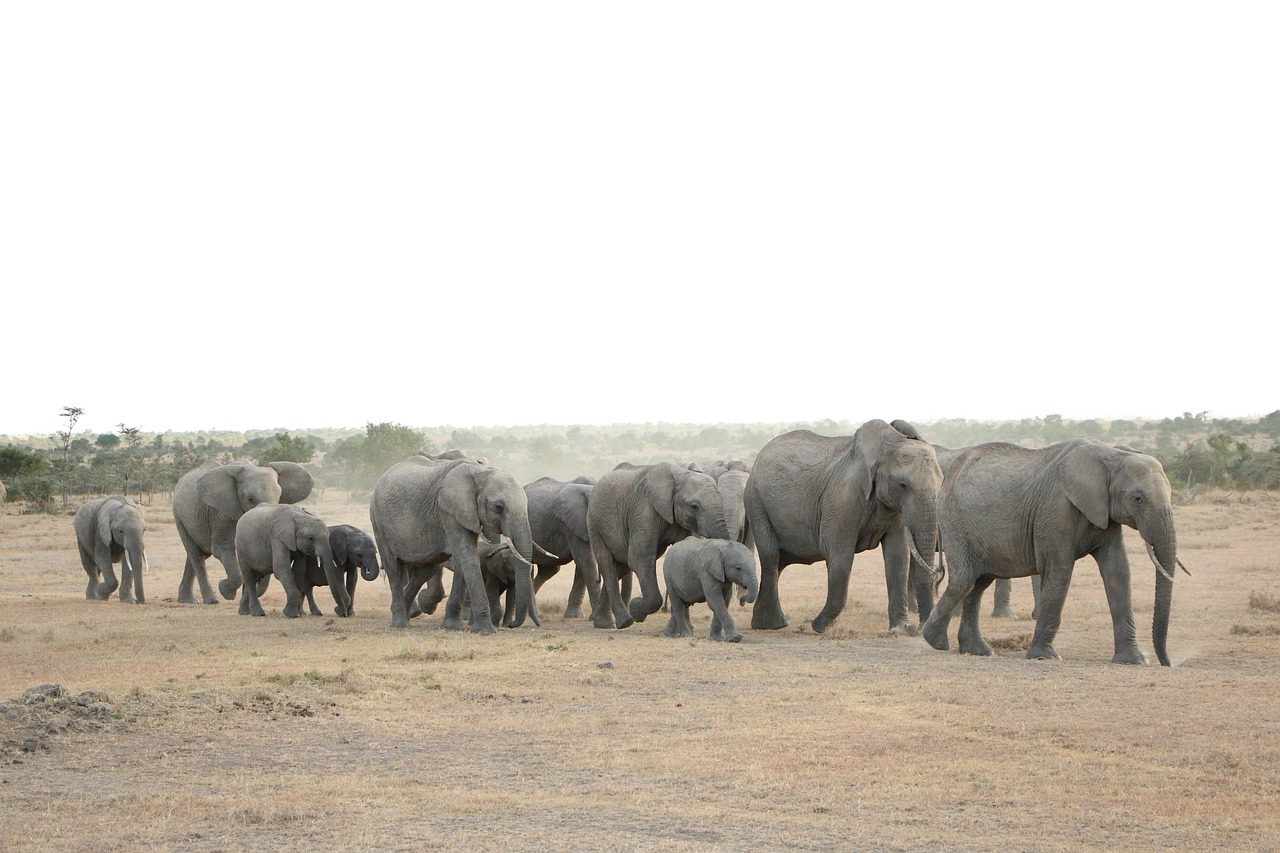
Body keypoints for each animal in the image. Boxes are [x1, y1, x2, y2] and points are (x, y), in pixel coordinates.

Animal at [172, 460, 314, 604]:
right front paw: (226, 591)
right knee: (196, 554)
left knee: (199, 553)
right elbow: (221, 549)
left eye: (279, 496)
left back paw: (187, 600)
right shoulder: (222, 515)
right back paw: (211, 600)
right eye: (250, 499)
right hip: (178, 515)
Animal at [369, 456, 539, 632]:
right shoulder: (449, 511)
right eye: (498, 507)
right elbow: (468, 558)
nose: (511, 625)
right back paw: (400, 623)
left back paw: (409, 612)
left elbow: (463, 561)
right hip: (378, 519)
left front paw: (452, 626)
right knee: (393, 567)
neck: (481, 472)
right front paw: (485, 630)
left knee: (426, 570)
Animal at [587, 460, 731, 629]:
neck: (679, 475)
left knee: (619, 568)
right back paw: (625, 622)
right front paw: (636, 609)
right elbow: (639, 559)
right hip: (594, 523)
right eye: (694, 506)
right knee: (608, 564)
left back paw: (603, 624)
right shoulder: (643, 512)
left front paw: (684, 629)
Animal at [745, 419, 943, 635]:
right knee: (771, 556)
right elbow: (840, 556)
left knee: (778, 562)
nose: (921, 628)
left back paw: (765, 624)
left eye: (941, 482)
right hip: (757, 504)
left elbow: (898, 557)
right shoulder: (841, 500)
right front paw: (819, 627)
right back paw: (776, 624)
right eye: (902, 485)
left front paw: (900, 631)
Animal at [920, 439, 1187, 666]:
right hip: (956, 523)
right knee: (964, 581)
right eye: (1138, 498)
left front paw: (1134, 660)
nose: (1167, 663)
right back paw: (935, 641)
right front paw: (1045, 657)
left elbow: (1118, 572)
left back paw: (979, 651)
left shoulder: (1105, 512)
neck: (1112, 454)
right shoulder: (1055, 510)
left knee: (977, 585)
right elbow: (1059, 571)